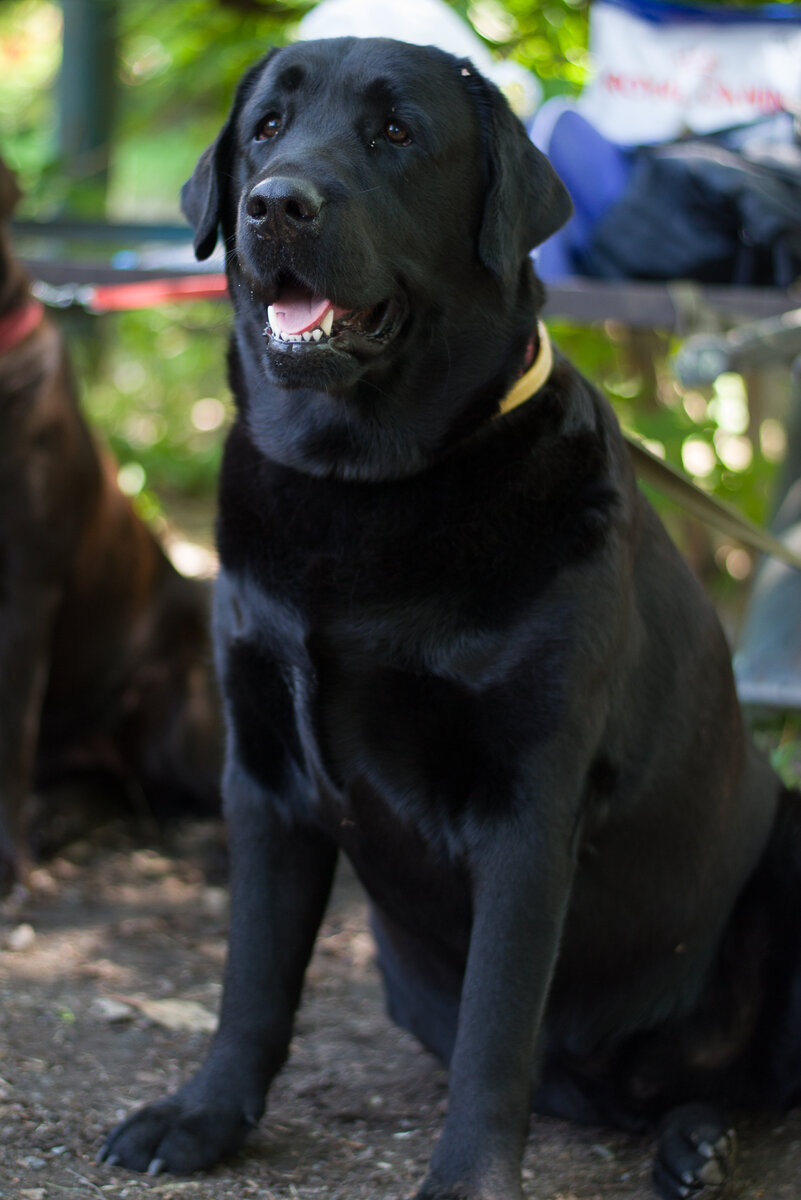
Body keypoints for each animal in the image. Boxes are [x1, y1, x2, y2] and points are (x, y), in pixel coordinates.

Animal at [101, 37, 801, 1200]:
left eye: (395, 133)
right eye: (266, 127)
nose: (274, 203)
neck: (361, 487)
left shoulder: (527, 803)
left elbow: (495, 1030)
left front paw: (467, 1178)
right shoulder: (262, 775)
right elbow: (251, 981)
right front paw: (200, 1118)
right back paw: (690, 1140)